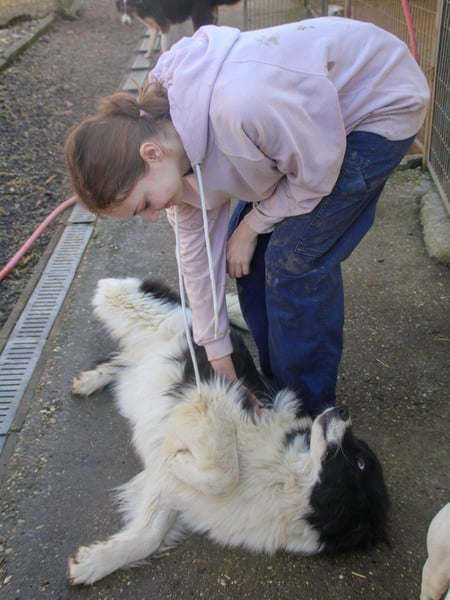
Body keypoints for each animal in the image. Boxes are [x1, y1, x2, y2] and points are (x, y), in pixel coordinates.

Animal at [67, 277, 390, 585]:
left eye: (360, 462)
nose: (342, 411)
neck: (281, 473)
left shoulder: (175, 490)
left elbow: (150, 536)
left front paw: (92, 563)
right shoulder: (220, 396)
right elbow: (223, 472)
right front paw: (178, 459)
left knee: (122, 359)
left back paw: (91, 379)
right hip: (135, 306)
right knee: (113, 290)